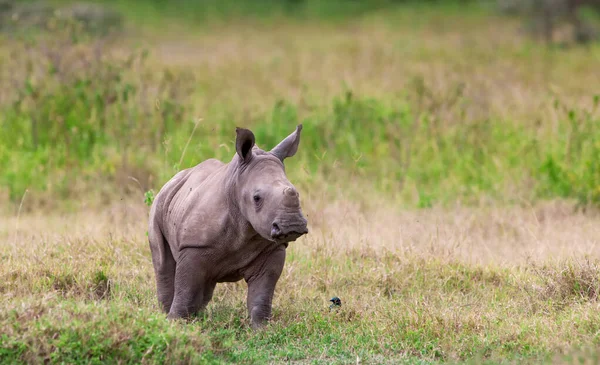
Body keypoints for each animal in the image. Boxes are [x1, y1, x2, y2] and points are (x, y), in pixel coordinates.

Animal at [148, 124, 310, 328]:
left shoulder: (273, 248)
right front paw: (174, 324)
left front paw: (261, 329)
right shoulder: (193, 245)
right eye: (257, 198)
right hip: (158, 204)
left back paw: (197, 316)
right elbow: (186, 288)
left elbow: (261, 295)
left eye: (296, 192)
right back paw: (165, 315)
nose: (292, 225)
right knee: (163, 264)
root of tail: (172, 180)